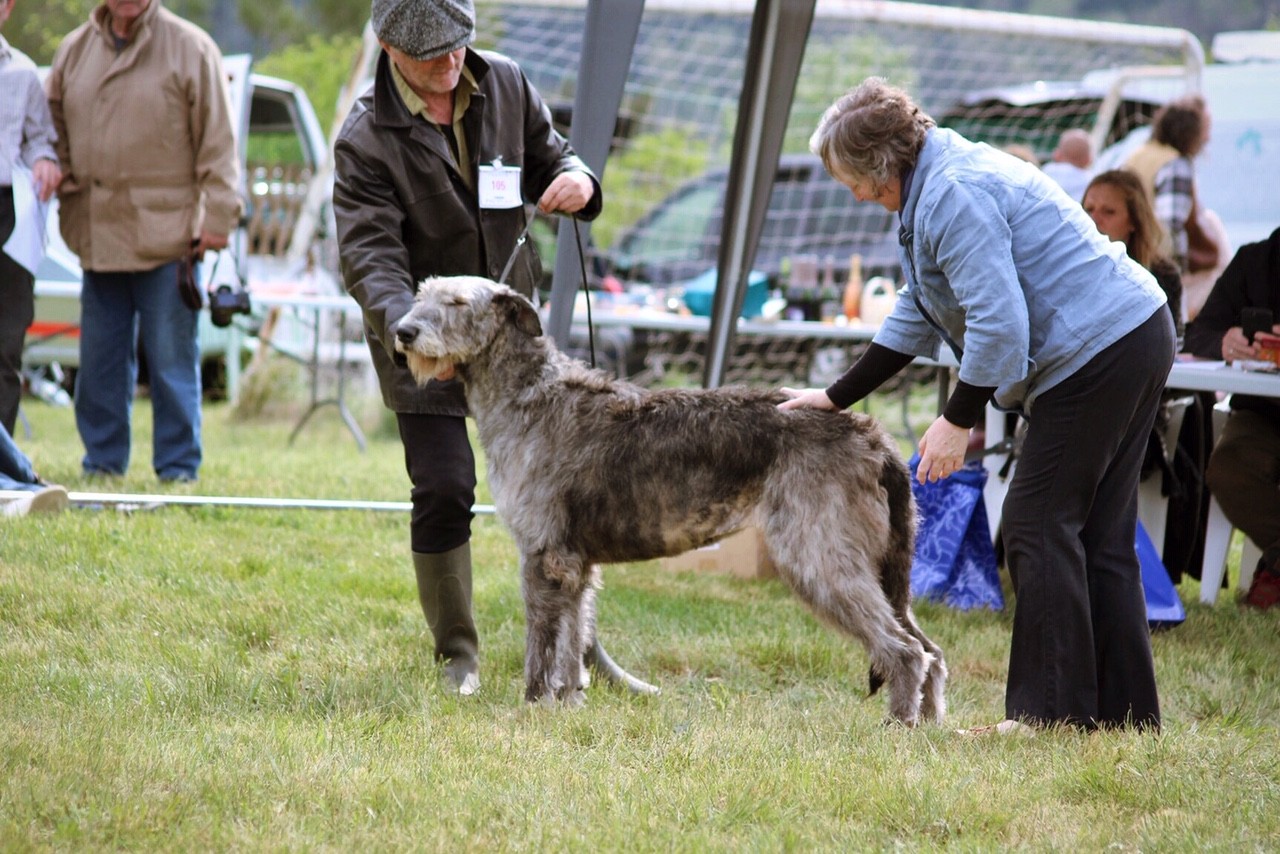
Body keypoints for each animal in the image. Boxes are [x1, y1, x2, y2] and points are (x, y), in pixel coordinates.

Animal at [394, 277, 947, 727]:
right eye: (420, 295)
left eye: (457, 302)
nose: (402, 332)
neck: (529, 394)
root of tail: (872, 435)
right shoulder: (575, 563)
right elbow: (574, 638)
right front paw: (570, 704)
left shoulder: (542, 554)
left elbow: (543, 642)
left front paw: (532, 706)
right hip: (878, 566)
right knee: (931, 650)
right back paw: (933, 728)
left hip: (820, 554)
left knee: (904, 651)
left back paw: (897, 727)